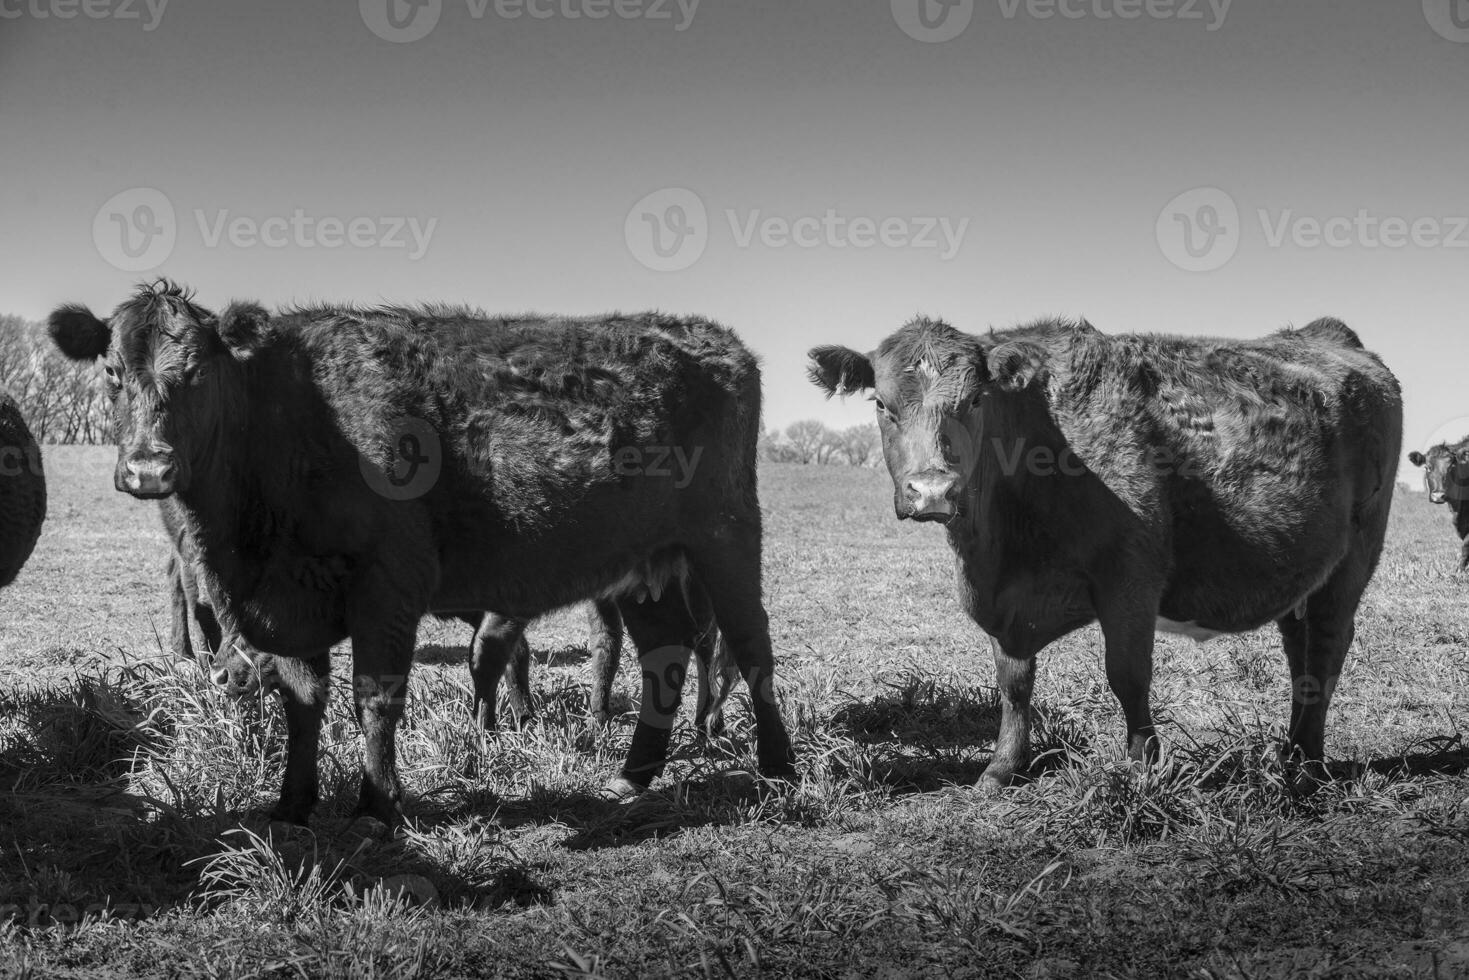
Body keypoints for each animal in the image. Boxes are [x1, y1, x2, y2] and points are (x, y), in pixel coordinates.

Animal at [51, 279, 793, 834]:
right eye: (112, 373)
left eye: (198, 374)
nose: (148, 468)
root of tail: (714, 340)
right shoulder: (290, 605)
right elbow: (302, 702)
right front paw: (292, 806)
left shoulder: (388, 585)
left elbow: (374, 697)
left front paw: (377, 806)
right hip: (645, 566)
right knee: (665, 653)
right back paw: (632, 777)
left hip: (725, 537)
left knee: (750, 645)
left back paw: (777, 769)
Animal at [816, 318, 1398, 793]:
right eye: (881, 404)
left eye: (975, 401)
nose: (932, 491)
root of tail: (1331, 336)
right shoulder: (1009, 604)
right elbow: (1013, 684)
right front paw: (1001, 769)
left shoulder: (1130, 577)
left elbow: (1127, 675)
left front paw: (1142, 768)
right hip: (1303, 577)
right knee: (1301, 655)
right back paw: (1294, 755)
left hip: (1352, 563)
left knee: (1326, 651)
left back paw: (1306, 768)